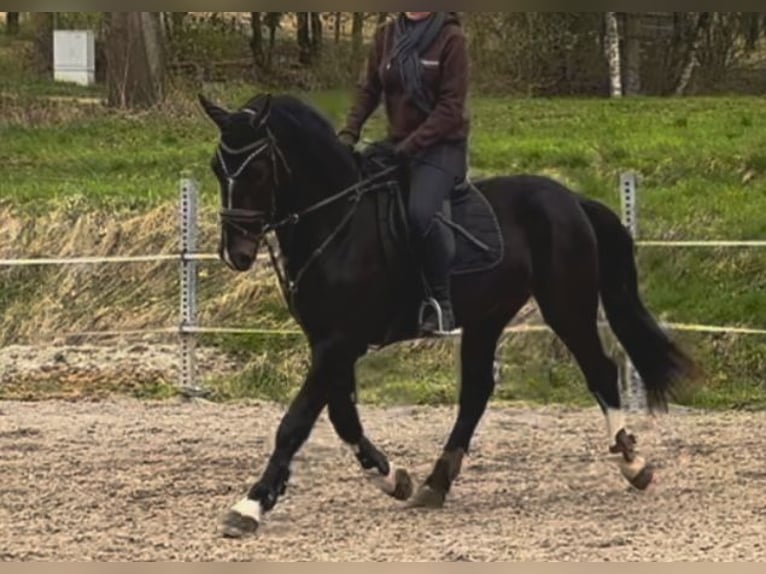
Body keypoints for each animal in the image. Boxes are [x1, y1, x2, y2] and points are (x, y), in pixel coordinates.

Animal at [200, 91, 704, 540]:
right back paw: (435, 483)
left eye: (258, 169)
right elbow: (343, 418)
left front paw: (250, 505)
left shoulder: (339, 342)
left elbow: (296, 422)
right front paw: (393, 478)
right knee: (476, 391)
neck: (337, 222)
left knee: (599, 370)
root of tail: (570, 199)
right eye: (217, 169)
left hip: (567, 306)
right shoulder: (328, 342)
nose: (237, 253)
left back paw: (633, 464)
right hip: (488, 316)